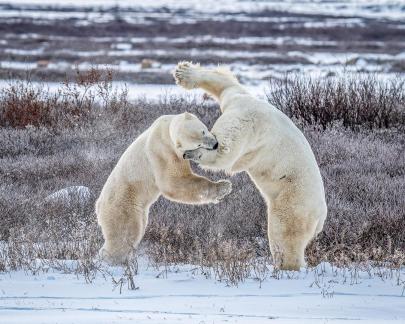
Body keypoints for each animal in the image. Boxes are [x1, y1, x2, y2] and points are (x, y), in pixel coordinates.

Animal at [95, 112, 232, 264]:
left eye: (203, 131)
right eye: (198, 144)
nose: (215, 144)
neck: (166, 128)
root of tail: (98, 206)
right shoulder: (164, 150)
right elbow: (172, 182)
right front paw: (223, 187)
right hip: (123, 205)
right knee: (125, 233)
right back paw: (111, 260)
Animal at [172, 62, 326, 270]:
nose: (210, 142)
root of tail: (321, 217)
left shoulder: (248, 122)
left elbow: (226, 152)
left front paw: (194, 153)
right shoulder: (238, 98)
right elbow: (225, 83)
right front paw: (184, 72)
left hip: (294, 200)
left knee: (284, 234)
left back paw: (285, 266)